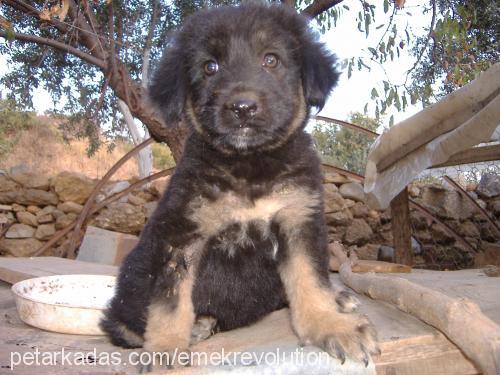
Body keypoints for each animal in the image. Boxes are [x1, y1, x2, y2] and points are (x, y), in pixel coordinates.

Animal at [101, 2, 378, 368]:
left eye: (271, 60)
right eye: (210, 67)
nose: (242, 107)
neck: (250, 166)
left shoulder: (298, 220)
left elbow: (310, 281)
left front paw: (330, 324)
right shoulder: (182, 233)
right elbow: (170, 302)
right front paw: (166, 349)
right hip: (132, 281)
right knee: (122, 324)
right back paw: (195, 327)